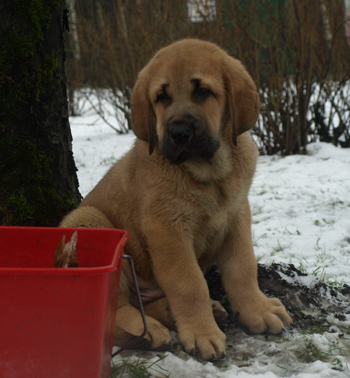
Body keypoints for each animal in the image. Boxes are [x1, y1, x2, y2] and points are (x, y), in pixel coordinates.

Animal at [60, 38, 292, 360]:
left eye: (203, 92)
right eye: (162, 97)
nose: (179, 132)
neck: (210, 176)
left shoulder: (236, 215)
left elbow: (243, 267)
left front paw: (257, 310)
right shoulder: (167, 228)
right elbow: (190, 283)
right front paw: (202, 332)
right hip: (89, 219)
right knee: (114, 303)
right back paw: (147, 331)